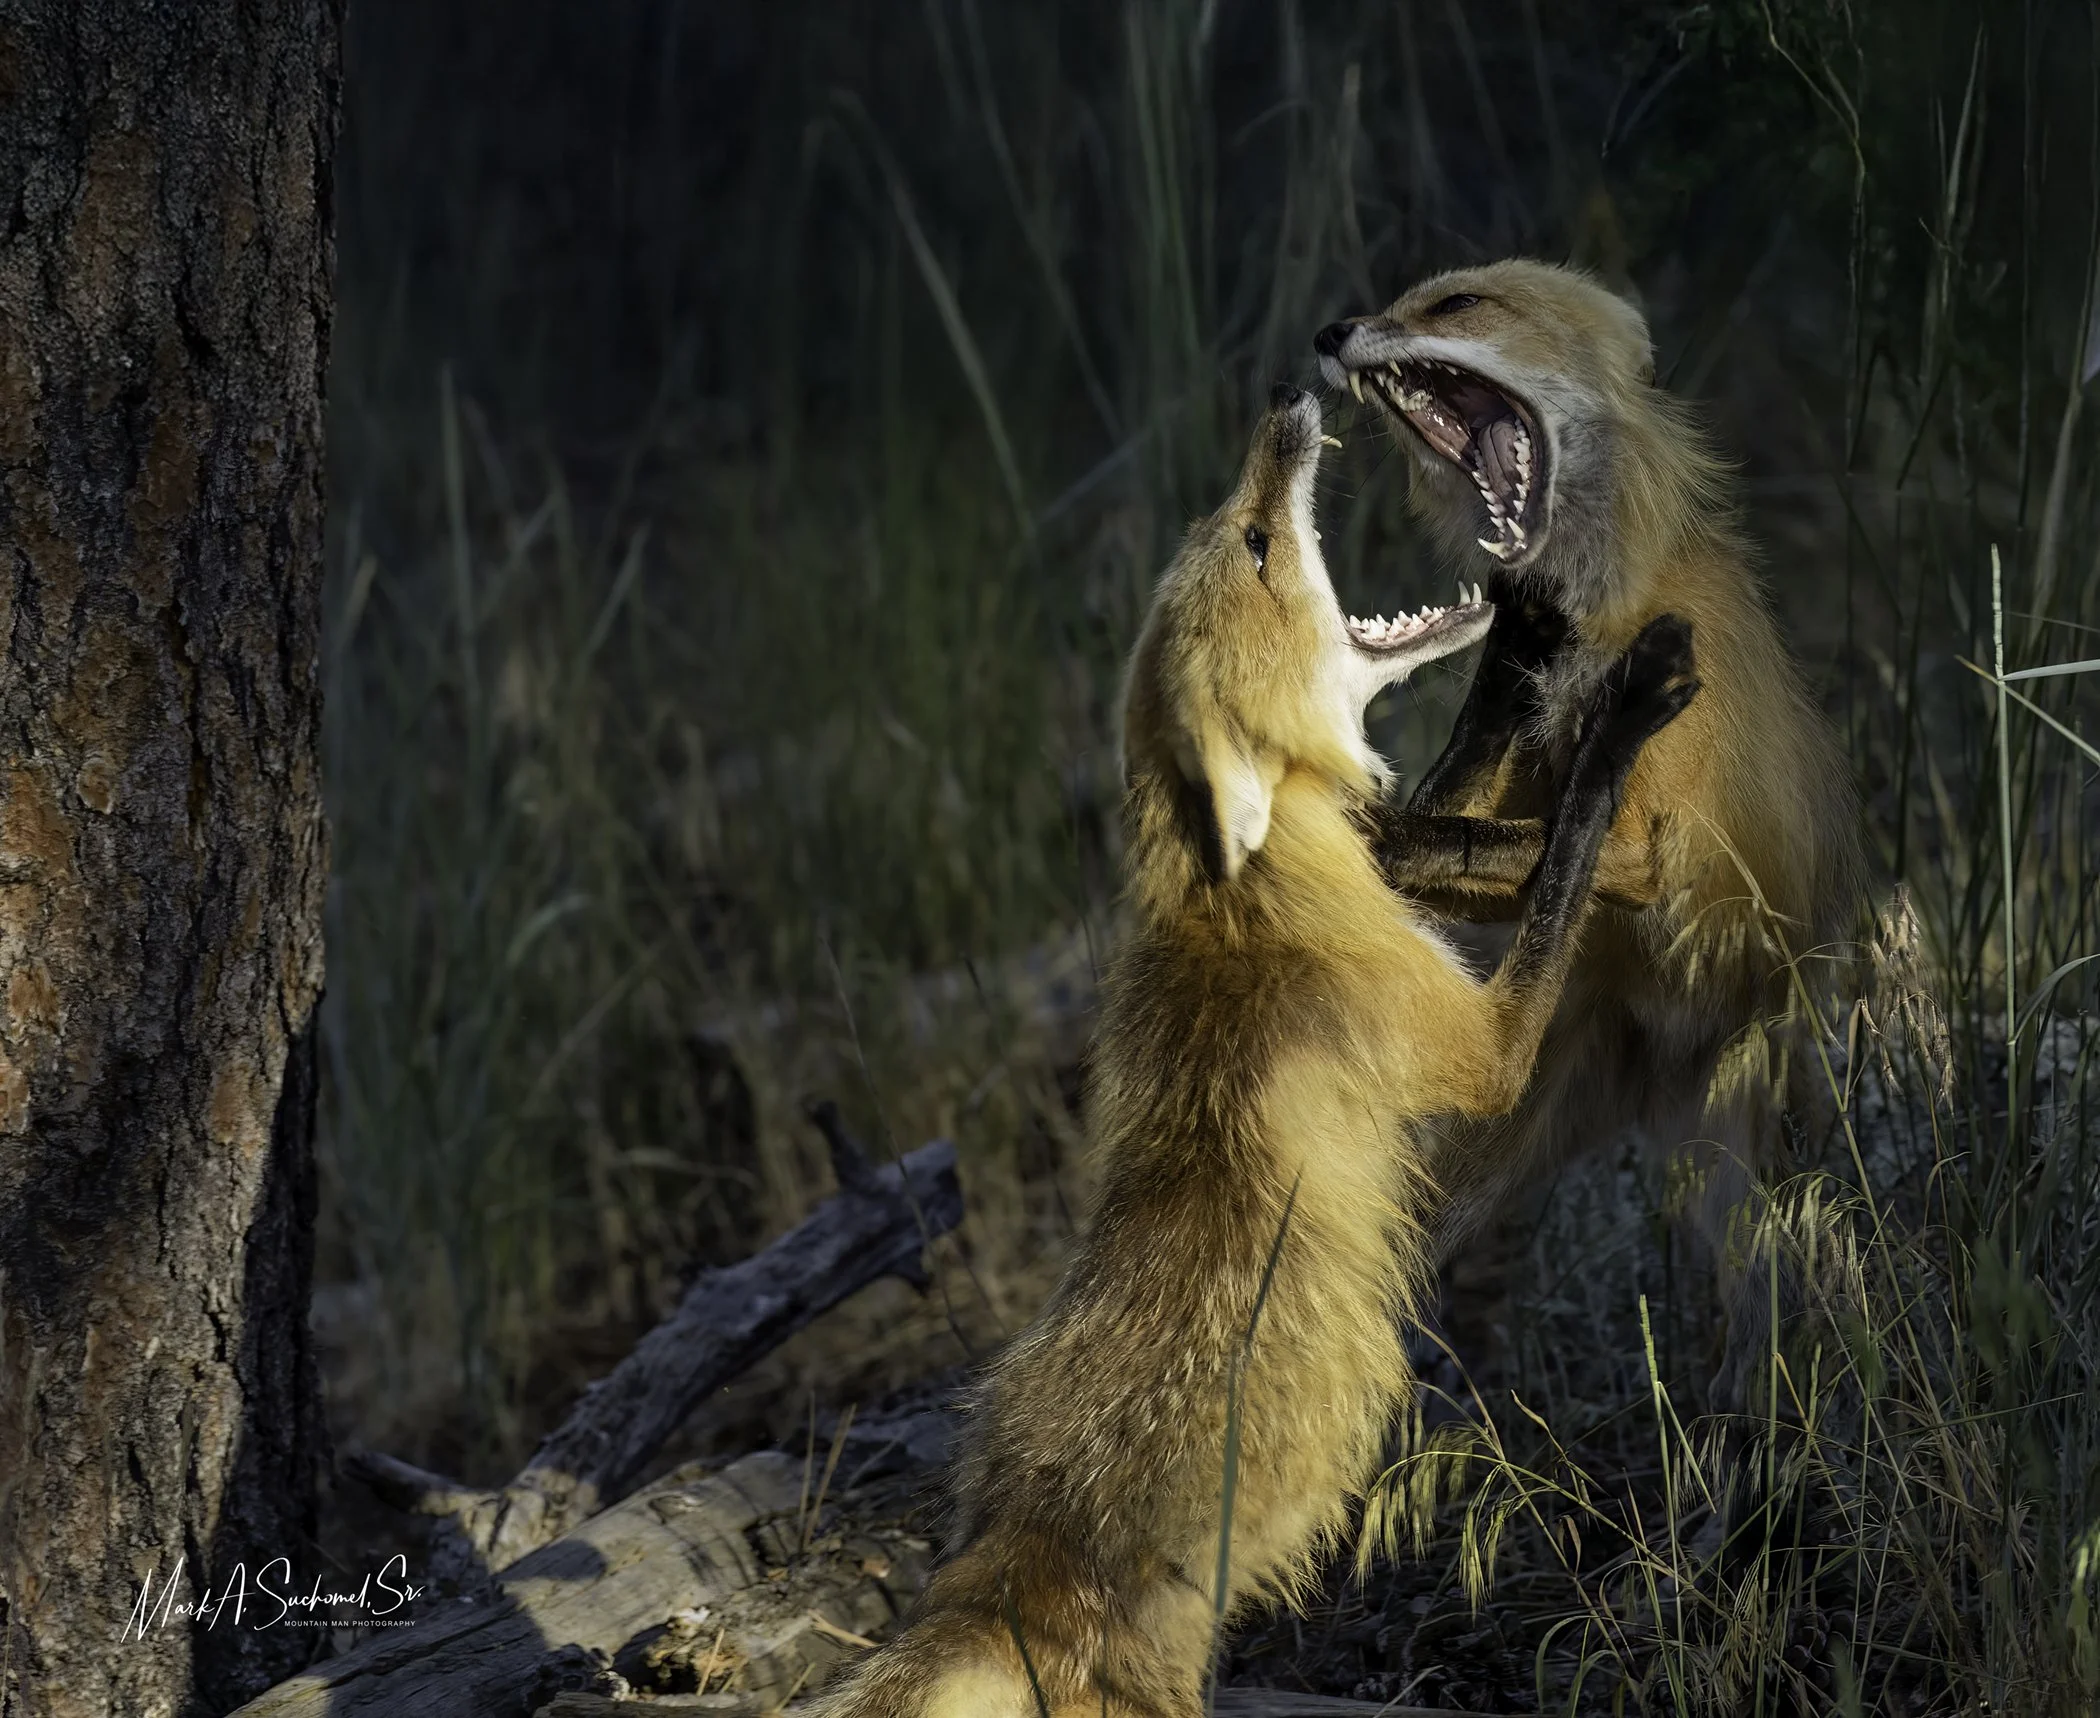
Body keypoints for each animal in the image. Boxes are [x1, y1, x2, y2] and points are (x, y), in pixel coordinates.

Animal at [809, 384, 1699, 1718]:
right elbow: (1570, 848)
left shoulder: (1388, 861)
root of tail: (1006, 1565)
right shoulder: (1485, 1044)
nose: (1288, 405)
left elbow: (1465, 804)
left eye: (1230, 528)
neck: (1244, 896)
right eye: (1260, 545)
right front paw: (1626, 707)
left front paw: (1528, 629)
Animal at [1313, 259, 1864, 1385]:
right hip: (1487, 1155)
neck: (1599, 617)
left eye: (1455, 305)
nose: (1333, 332)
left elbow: (1475, 833)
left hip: (1758, 1185)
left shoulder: (1652, 844)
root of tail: (1656, 1091)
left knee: (1773, 1314)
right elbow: (1464, 817)